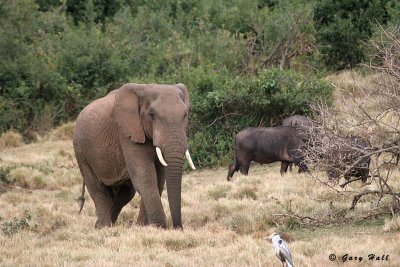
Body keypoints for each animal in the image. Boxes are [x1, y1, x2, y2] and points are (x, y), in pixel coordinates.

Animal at [74, 84, 196, 230]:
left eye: (185, 114)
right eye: (152, 115)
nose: (178, 228)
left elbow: (159, 179)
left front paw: (143, 226)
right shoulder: (127, 131)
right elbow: (145, 177)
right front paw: (158, 227)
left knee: (126, 193)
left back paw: (105, 224)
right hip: (80, 150)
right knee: (98, 190)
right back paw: (104, 227)